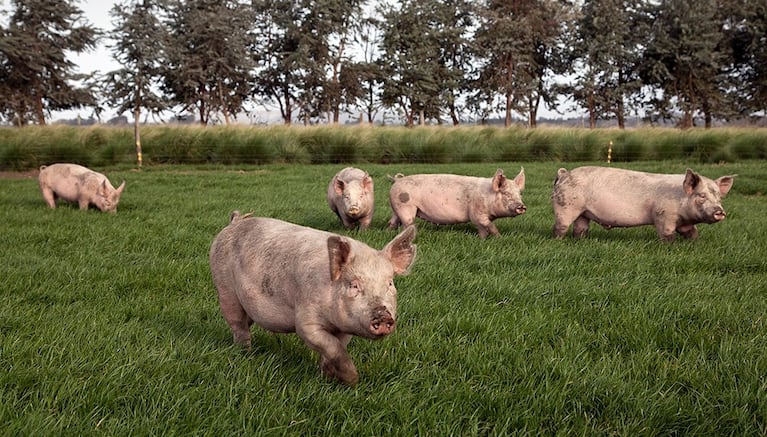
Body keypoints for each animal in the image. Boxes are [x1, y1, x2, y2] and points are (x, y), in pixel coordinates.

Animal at [207, 212, 416, 384]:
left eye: (390, 283)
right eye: (354, 285)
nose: (383, 315)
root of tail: (235, 222)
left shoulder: (346, 326)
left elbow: (335, 348)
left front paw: (328, 376)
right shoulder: (306, 322)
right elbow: (332, 347)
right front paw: (353, 380)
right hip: (225, 289)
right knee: (238, 325)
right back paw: (245, 353)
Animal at [388, 167, 524, 237]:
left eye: (519, 194)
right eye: (506, 194)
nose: (522, 206)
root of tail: (397, 180)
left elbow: (483, 230)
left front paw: (483, 240)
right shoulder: (477, 214)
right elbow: (490, 226)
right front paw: (499, 238)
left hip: (396, 208)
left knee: (393, 221)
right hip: (405, 207)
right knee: (407, 223)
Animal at [552, 165, 736, 240]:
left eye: (718, 197)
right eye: (702, 195)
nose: (720, 211)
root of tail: (564, 174)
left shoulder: (685, 223)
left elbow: (692, 233)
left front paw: (694, 243)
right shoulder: (663, 216)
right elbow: (667, 235)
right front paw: (670, 247)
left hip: (583, 212)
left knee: (580, 228)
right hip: (566, 207)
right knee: (560, 227)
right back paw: (558, 241)